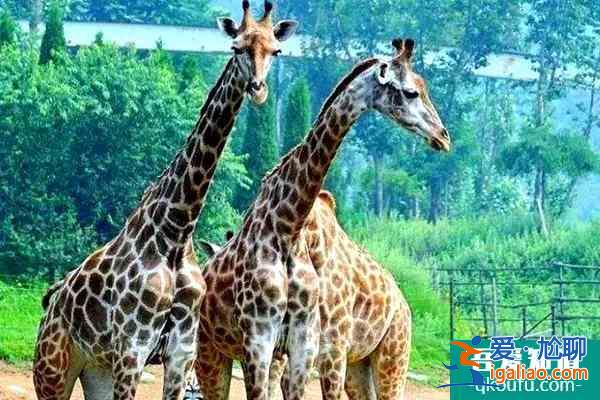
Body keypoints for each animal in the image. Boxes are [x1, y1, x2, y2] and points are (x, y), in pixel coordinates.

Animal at [32, 1, 298, 398]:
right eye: (236, 47)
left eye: (275, 51)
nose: (258, 89)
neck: (175, 232)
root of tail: (50, 303)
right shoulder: (132, 348)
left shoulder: (180, 352)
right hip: (53, 367)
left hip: (96, 369)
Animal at [193, 36, 450, 400]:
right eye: (412, 92)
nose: (443, 136)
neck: (290, 228)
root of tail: (404, 305)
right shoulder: (264, 342)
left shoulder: (307, 345)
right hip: (209, 350)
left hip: (389, 356)